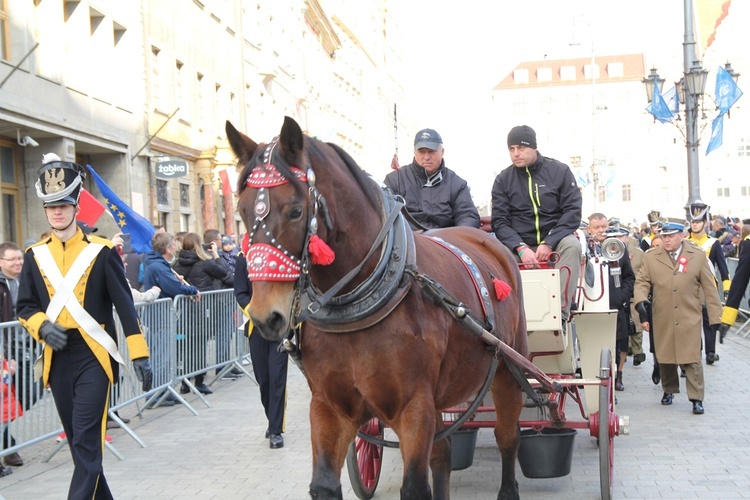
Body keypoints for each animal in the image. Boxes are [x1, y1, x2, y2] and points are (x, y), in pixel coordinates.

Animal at [229, 118, 528, 500]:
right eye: (242, 211)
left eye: (295, 211)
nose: (265, 315)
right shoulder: (328, 407)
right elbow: (324, 484)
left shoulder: (415, 408)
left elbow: (415, 486)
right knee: (443, 454)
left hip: (508, 367)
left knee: (508, 438)